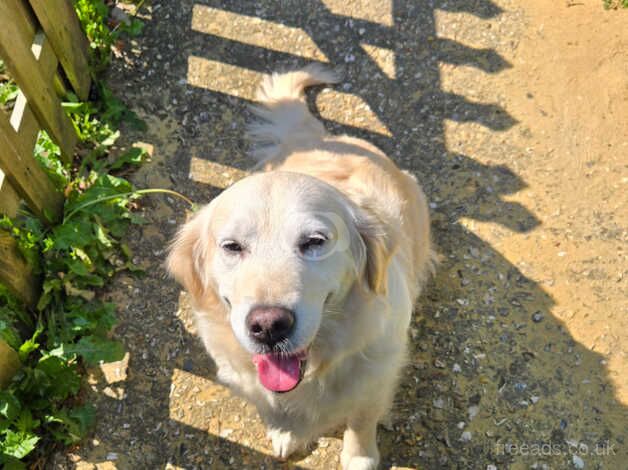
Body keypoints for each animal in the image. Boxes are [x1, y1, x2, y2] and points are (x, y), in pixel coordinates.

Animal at [166, 66, 432, 470]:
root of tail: (322, 138)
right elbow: (275, 407)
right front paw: (285, 432)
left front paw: (359, 457)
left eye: (314, 241)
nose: (268, 325)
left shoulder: (376, 376)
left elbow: (361, 421)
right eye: (232, 246)